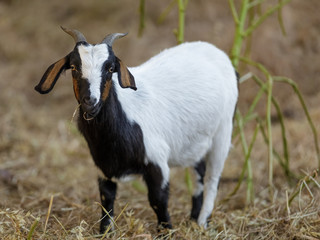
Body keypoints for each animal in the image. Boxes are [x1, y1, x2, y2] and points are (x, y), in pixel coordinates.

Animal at [35, 26, 238, 232]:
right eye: (74, 67)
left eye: (110, 68)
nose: (90, 101)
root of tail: (215, 51)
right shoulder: (103, 166)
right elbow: (106, 198)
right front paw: (105, 232)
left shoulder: (157, 160)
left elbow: (158, 200)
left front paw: (166, 231)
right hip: (197, 142)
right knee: (199, 174)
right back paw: (194, 217)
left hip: (223, 132)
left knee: (212, 179)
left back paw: (203, 221)